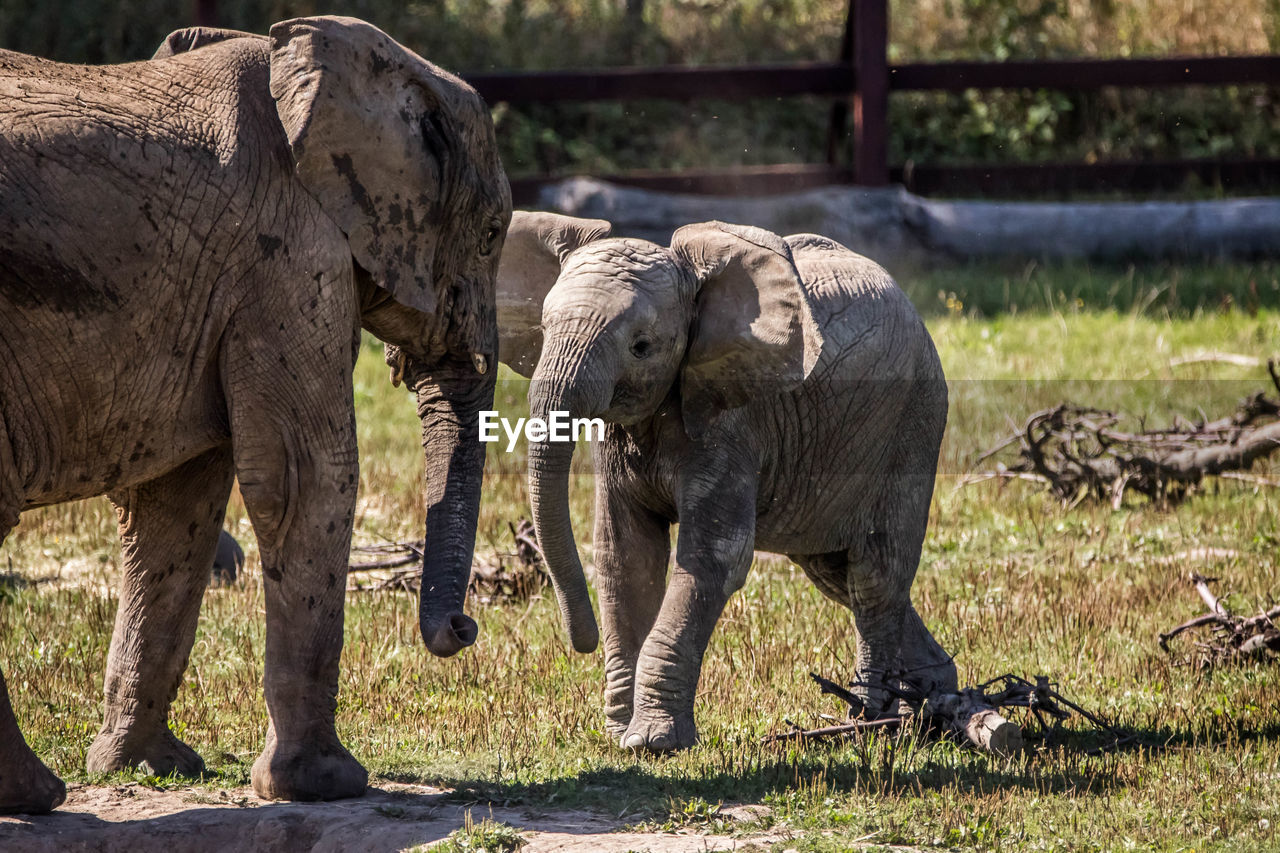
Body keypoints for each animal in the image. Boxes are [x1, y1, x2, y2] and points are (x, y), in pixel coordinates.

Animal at [0, 14, 509, 809]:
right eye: (491, 234)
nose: (465, 624)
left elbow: (177, 504)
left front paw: (150, 767)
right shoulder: (291, 258)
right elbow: (308, 480)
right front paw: (327, 785)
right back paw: (34, 795)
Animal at [494, 212, 957, 753]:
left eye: (641, 347)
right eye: (543, 330)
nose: (582, 640)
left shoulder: (734, 422)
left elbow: (714, 557)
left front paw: (651, 742)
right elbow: (626, 557)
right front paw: (619, 735)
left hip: (914, 420)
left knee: (874, 576)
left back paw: (872, 722)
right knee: (835, 572)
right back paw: (935, 696)